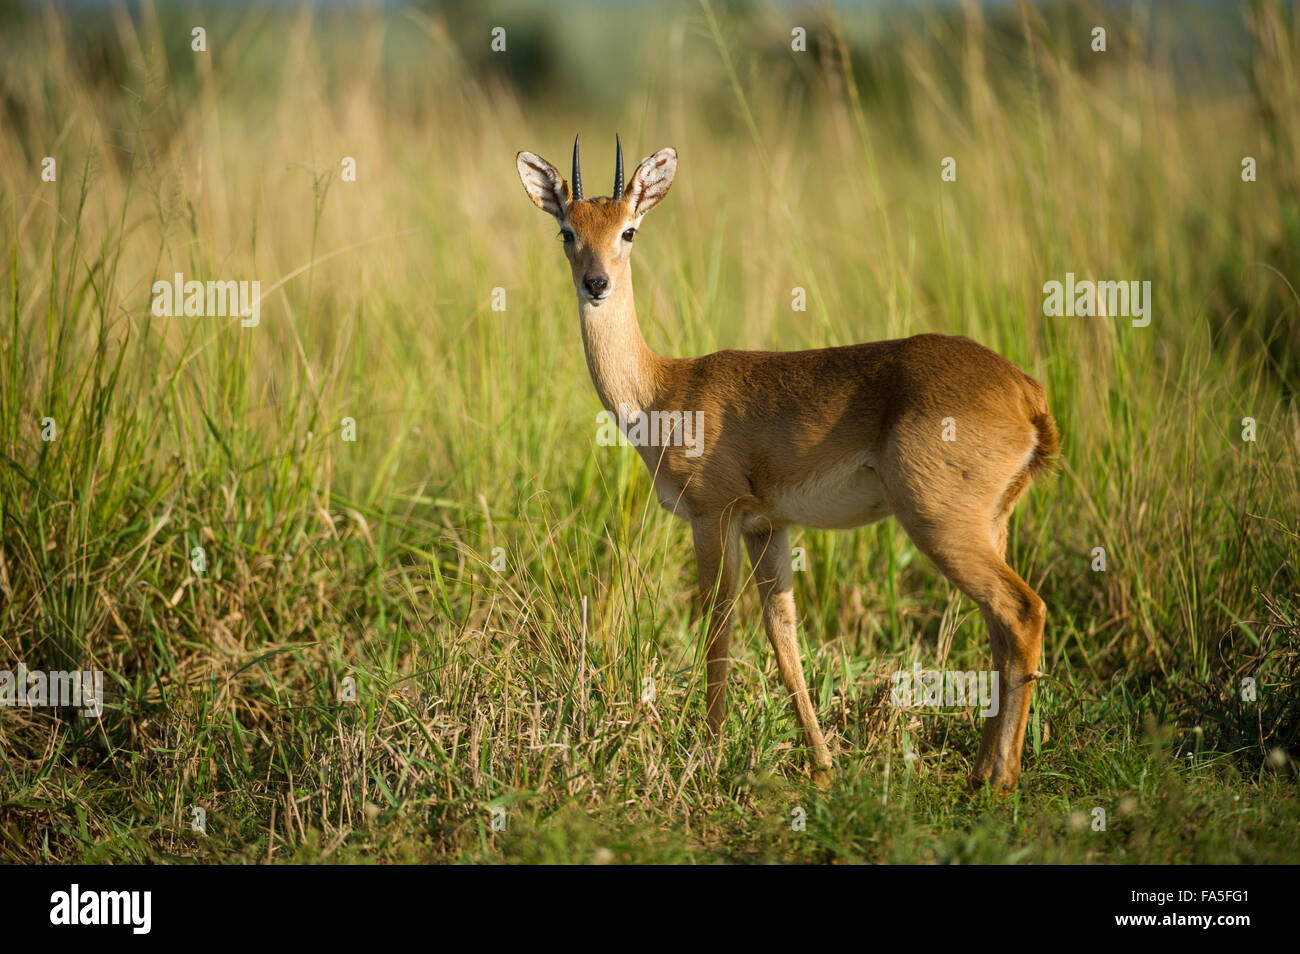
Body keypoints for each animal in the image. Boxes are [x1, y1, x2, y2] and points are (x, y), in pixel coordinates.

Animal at [512, 134, 1060, 790]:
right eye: (567, 230)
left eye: (629, 230)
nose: (596, 283)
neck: (664, 390)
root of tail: (1026, 393)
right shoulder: (766, 528)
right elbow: (783, 636)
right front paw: (822, 763)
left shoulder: (712, 517)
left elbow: (717, 625)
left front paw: (710, 754)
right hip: (990, 525)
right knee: (1001, 630)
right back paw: (981, 772)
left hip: (940, 523)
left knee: (1022, 612)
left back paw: (999, 780)